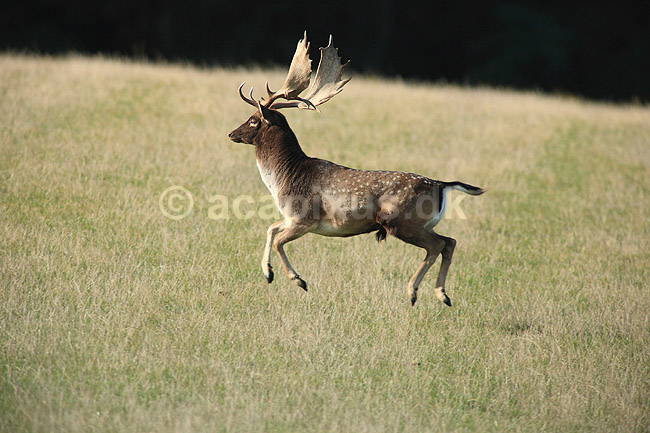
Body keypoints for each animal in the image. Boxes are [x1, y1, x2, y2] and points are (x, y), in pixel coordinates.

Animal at [228, 32, 485, 306]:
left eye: (253, 120)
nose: (231, 133)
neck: (285, 177)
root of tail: (441, 184)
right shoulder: (290, 218)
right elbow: (271, 229)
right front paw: (268, 273)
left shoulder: (304, 217)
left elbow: (277, 240)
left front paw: (298, 280)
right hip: (422, 223)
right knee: (449, 242)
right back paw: (442, 294)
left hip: (401, 219)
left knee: (437, 245)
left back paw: (414, 291)